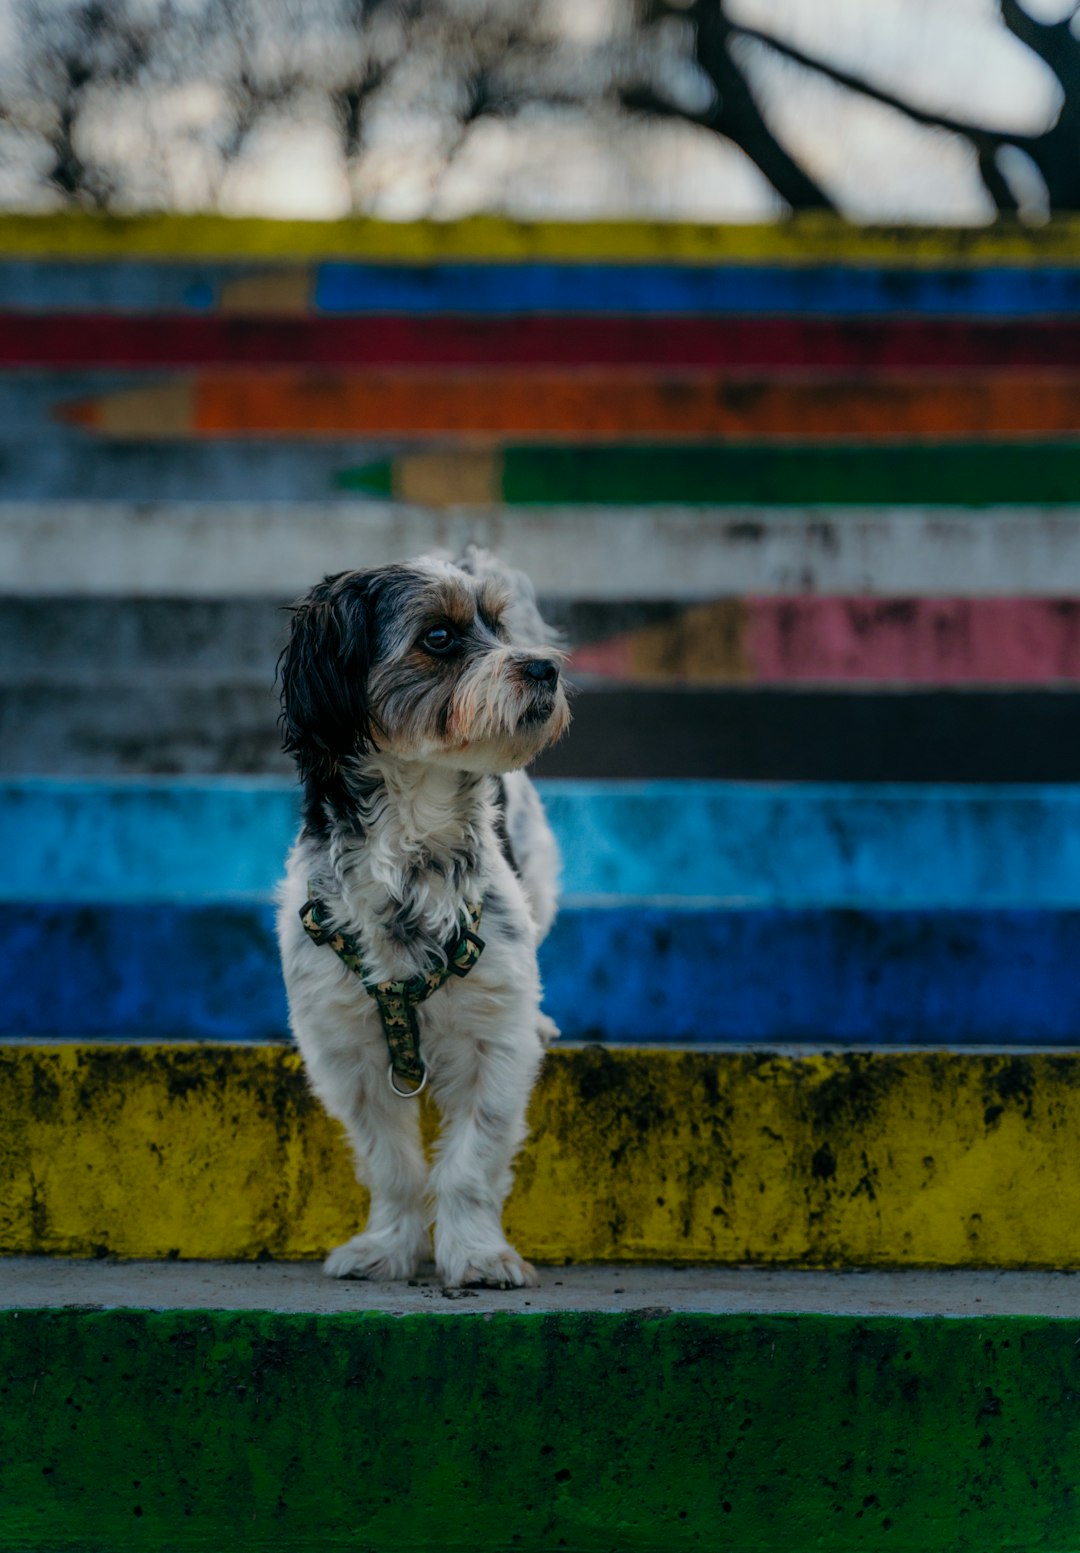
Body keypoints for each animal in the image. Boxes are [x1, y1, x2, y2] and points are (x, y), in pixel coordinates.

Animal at [275, 552, 571, 1292]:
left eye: (498, 626)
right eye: (439, 637)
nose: (544, 667)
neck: (412, 852)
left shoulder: (495, 1042)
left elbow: (471, 1162)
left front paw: (479, 1255)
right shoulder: (345, 1052)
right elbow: (391, 1164)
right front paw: (386, 1246)